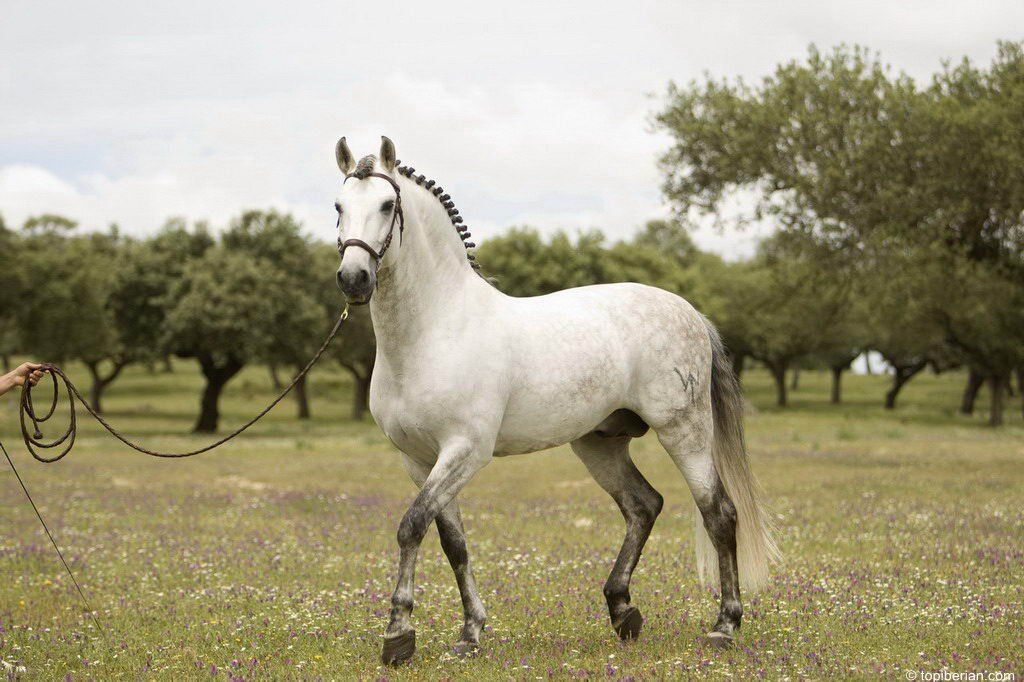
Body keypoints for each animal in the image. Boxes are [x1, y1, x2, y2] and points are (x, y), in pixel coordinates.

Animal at [332, 136, 779, 665]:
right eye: (338, 206)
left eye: (386, 205)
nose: (353, 278)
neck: (436, 328)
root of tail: (689, 311)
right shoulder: (419, 460)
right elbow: (452, 542)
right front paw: (469, 633)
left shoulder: (465, 452)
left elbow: (411, 526)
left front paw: (398, 633)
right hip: (599, 444)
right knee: (643, 506)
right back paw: (623, 611)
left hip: (683, 432)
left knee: (718, 513)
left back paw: (724, 625)